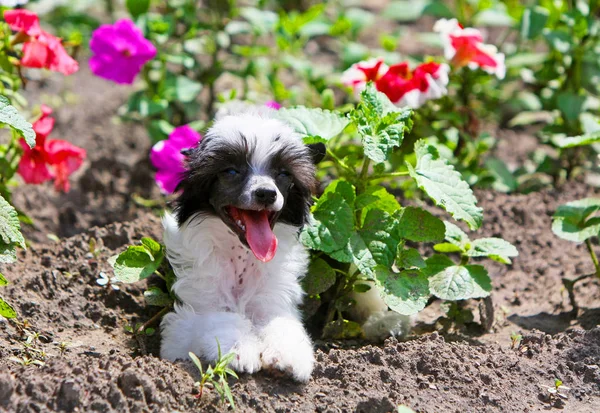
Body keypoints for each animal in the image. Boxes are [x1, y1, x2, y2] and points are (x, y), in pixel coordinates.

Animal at [157, 108, 322, 382]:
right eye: (231, 172)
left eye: (283, 174)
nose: (266, 193)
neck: (241, 258)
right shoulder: (196, 308)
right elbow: (222, 318)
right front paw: (240, 349)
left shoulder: (272, 299)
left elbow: (281, 322)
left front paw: (289, 356)